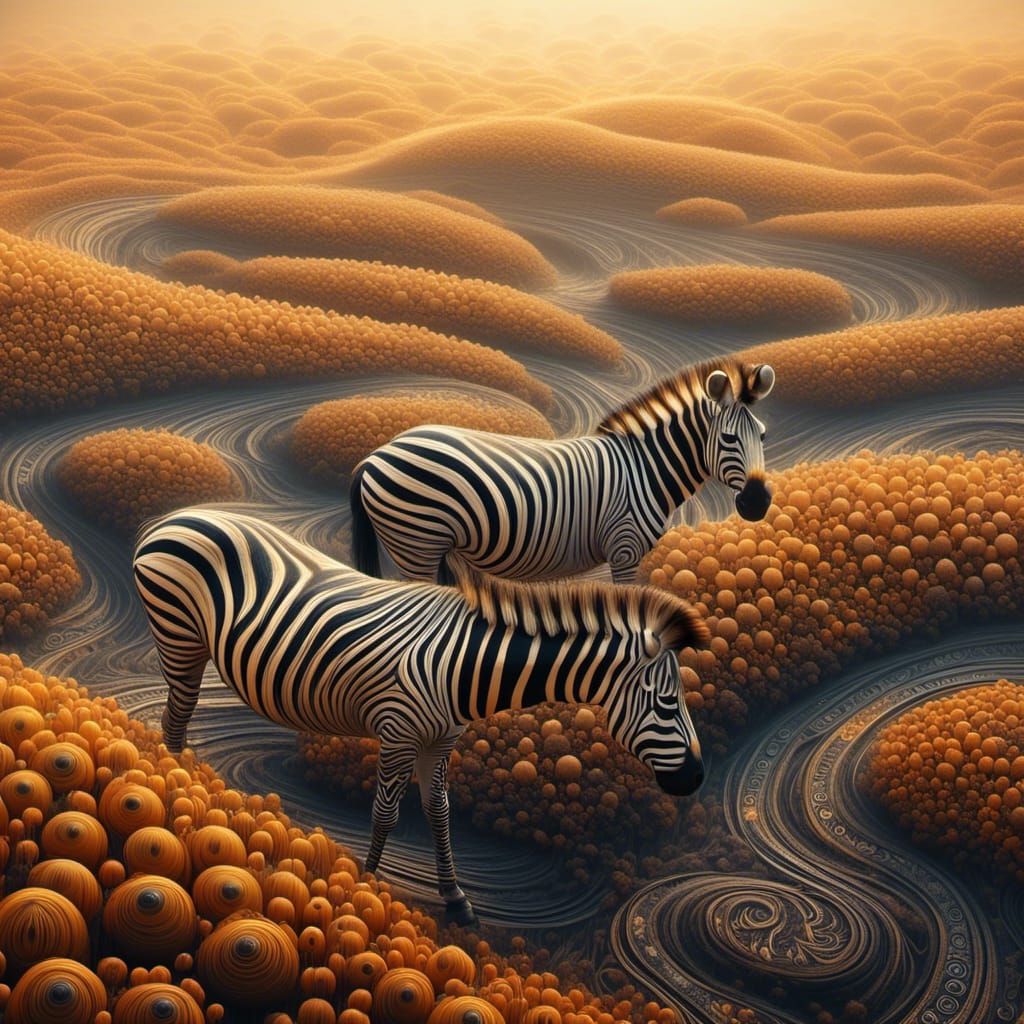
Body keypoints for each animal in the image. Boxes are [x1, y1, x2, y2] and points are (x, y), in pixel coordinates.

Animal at [133, 508, 710, 924]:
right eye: (667, 703)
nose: (697, 778)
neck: (464, 663)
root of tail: (173, 517)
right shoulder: (398, 732)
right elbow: (386, 813)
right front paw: (364, 886)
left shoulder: (441, 739)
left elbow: (439, 811)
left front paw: (456, 898)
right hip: (180, 639)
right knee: (175, 722)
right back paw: (179, 786)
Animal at [350, 355, 775, 586]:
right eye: (728, 439)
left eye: (763, 435)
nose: (758, 503)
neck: (644, 468)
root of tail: (376, 454)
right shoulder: (624, 550)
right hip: (415, 542)